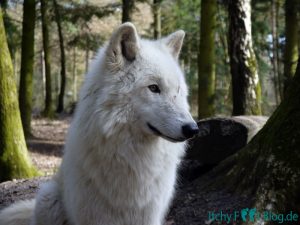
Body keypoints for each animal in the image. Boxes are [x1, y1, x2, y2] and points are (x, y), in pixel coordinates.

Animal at [0, 22, 199, 225]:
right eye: (153, 88)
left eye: (178, 90)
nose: (192, 129)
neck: (131, 156)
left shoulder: (149, 215)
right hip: (48, 200)